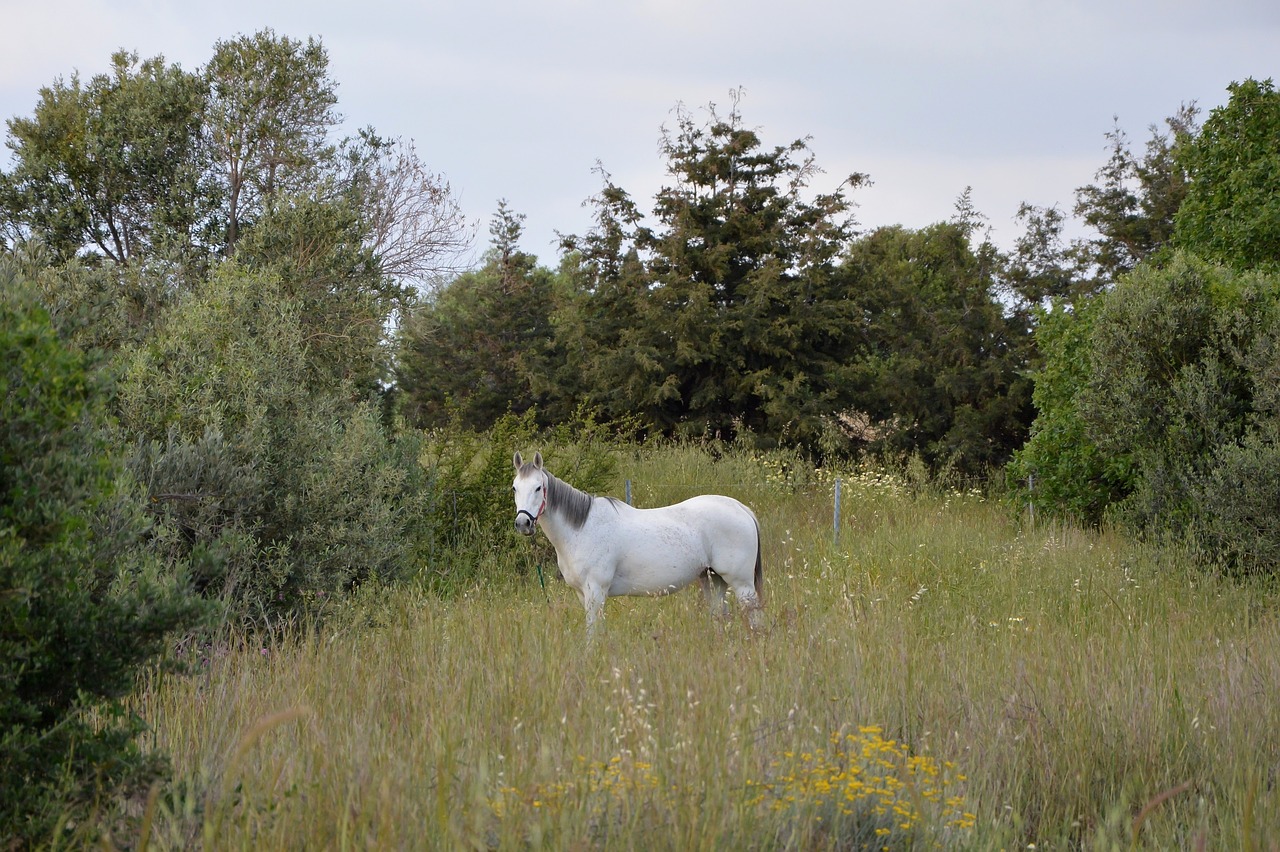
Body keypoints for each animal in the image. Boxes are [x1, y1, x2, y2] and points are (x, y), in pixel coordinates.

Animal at [514, 447, 762, 634]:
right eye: (515, 487)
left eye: (538, 488)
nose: (523, 523)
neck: (582, 529)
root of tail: (741, 508)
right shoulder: (582, 593)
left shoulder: (596, 590)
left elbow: (593, 631)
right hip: (712, 578)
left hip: (741, 583)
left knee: (753, 615)